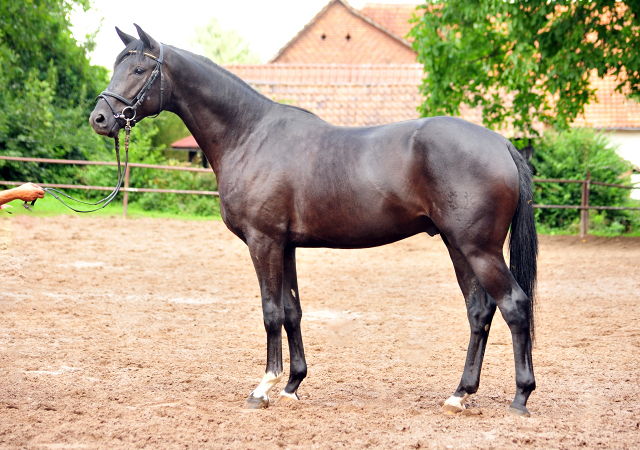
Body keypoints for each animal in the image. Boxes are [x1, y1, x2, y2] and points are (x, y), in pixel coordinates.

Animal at [90, 25, 536, 414]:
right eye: (116, 65)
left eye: (140, 69)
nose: (100, 118)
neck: (249, 135)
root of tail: (500, 143)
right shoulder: (285, 245)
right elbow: (292, 312)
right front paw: (292, 385)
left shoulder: (263, 242)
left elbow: (271, 312)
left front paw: (263, 388)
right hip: (457, 245)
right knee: (479, 312)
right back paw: (460, 394)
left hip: (479, 249)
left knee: (514, 306)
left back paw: (520, 397)